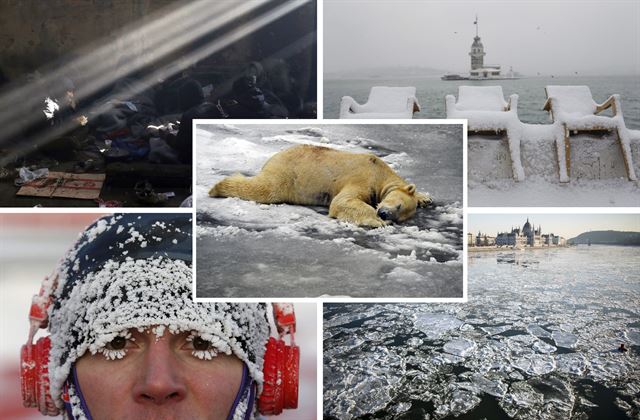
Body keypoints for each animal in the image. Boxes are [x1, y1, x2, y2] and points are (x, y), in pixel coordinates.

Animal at [208, 145, 432, 230]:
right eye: (399, 206)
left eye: (401, 214)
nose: (385, 214)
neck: (380, 172)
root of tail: (274, 156)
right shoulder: (362, 176)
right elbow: (342, 201)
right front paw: (378, 221)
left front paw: (425, 198)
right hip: (288, 174)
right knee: (265, 189)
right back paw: (218, 187)